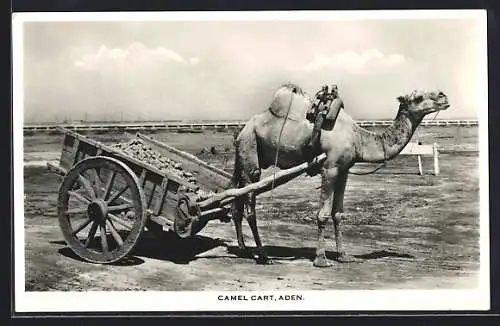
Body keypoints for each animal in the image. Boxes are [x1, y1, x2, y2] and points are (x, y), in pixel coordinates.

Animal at [230, 83, 450, 266]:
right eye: (419, 97)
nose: (443, 95)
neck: (358, 139)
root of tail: (241, 131)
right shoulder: (330, 167)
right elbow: (323, 214)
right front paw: (321, 259)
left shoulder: (344, 170)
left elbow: (338, 214)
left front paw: (344, 256)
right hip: (251, 152)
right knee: (250, 206)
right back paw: (263, 256)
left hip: (246, 159)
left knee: (237, 200)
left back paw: (244, 249)